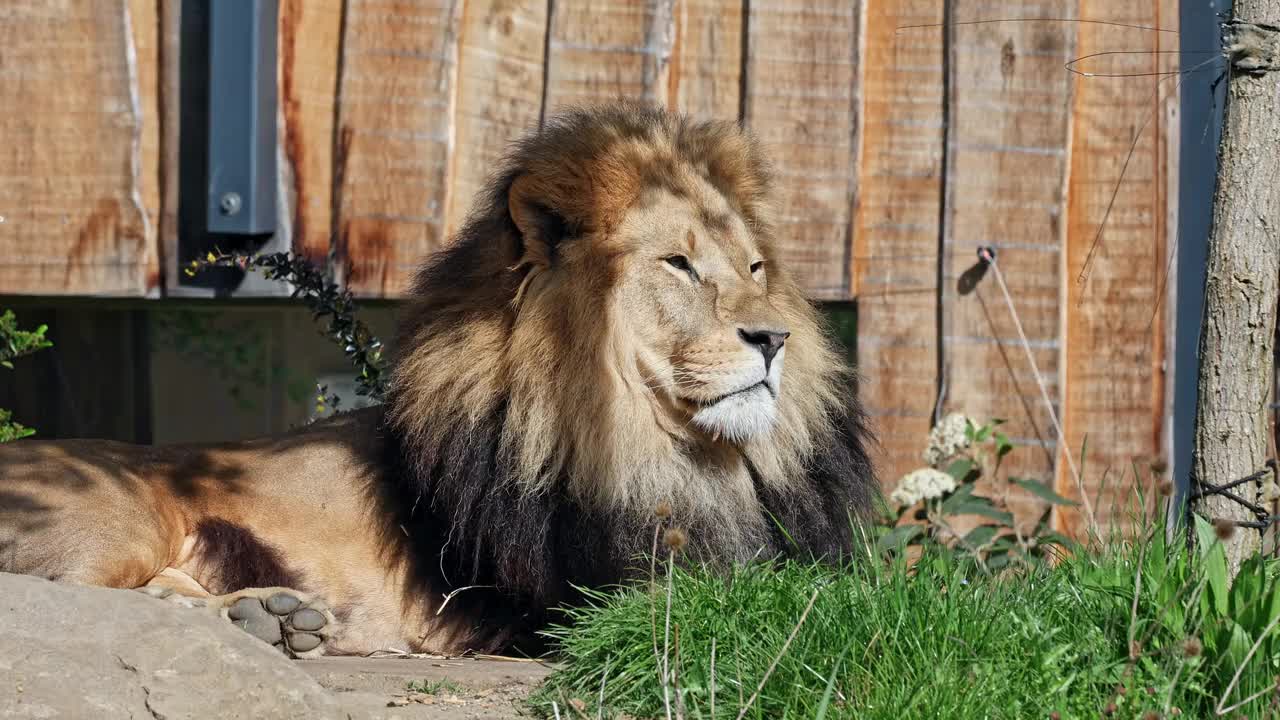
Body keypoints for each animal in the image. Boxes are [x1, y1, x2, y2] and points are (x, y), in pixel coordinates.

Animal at [0, 101, 875, 655]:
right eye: (680, 265)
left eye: (755, 268)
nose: (774, 338)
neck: (676, 451)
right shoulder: (599, 595)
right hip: (118, 513)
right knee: (70, 601)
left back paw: (270, 619)